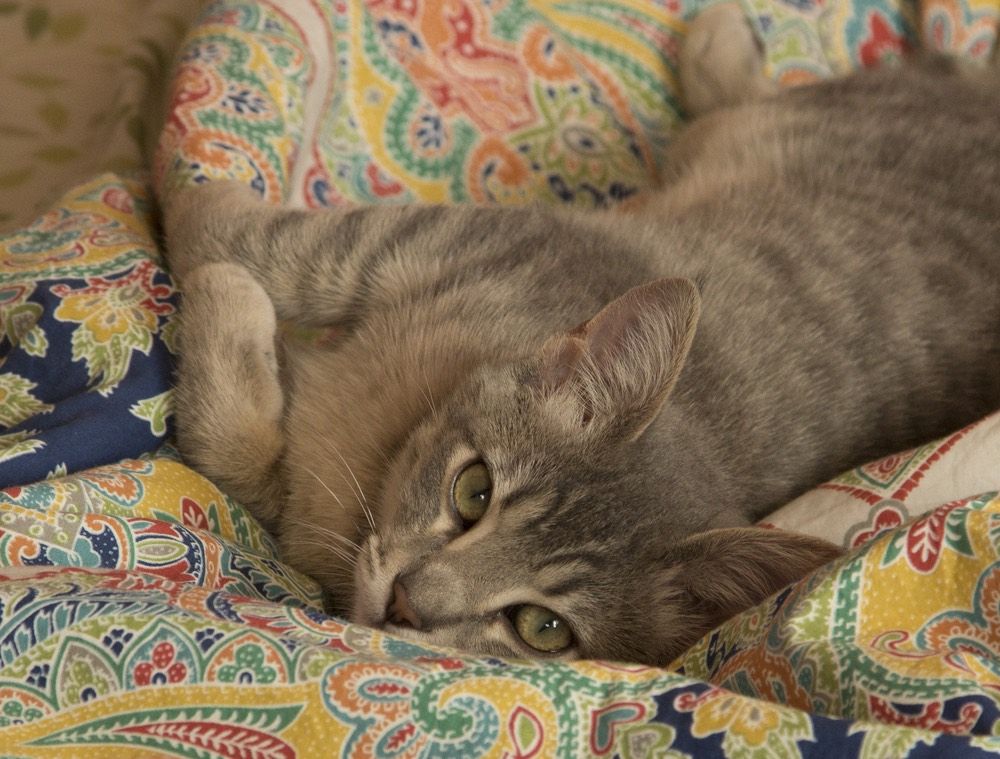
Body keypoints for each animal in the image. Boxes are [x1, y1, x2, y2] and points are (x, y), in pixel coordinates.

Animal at [164, 8, 1000, 668]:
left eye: (542, 626)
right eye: (474, 491)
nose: (407, 600)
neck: (387, 439)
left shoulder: (299, 504)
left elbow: (231, 440)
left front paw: (222, 292)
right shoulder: (449, 240)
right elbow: (253, 235)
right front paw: (193, 190)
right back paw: (722, 43)